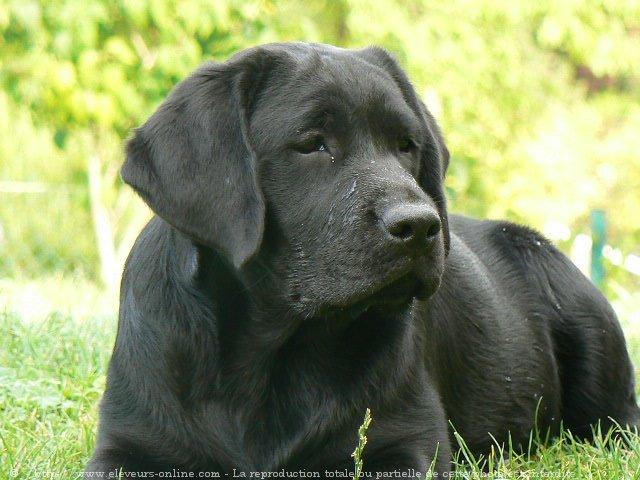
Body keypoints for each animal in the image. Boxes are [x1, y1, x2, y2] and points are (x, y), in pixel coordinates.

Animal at [86, 44, 640, 476]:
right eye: (312, 144)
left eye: (406, 145)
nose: (419, 227)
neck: (269, 356)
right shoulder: (127, 445)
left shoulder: (405, 444)